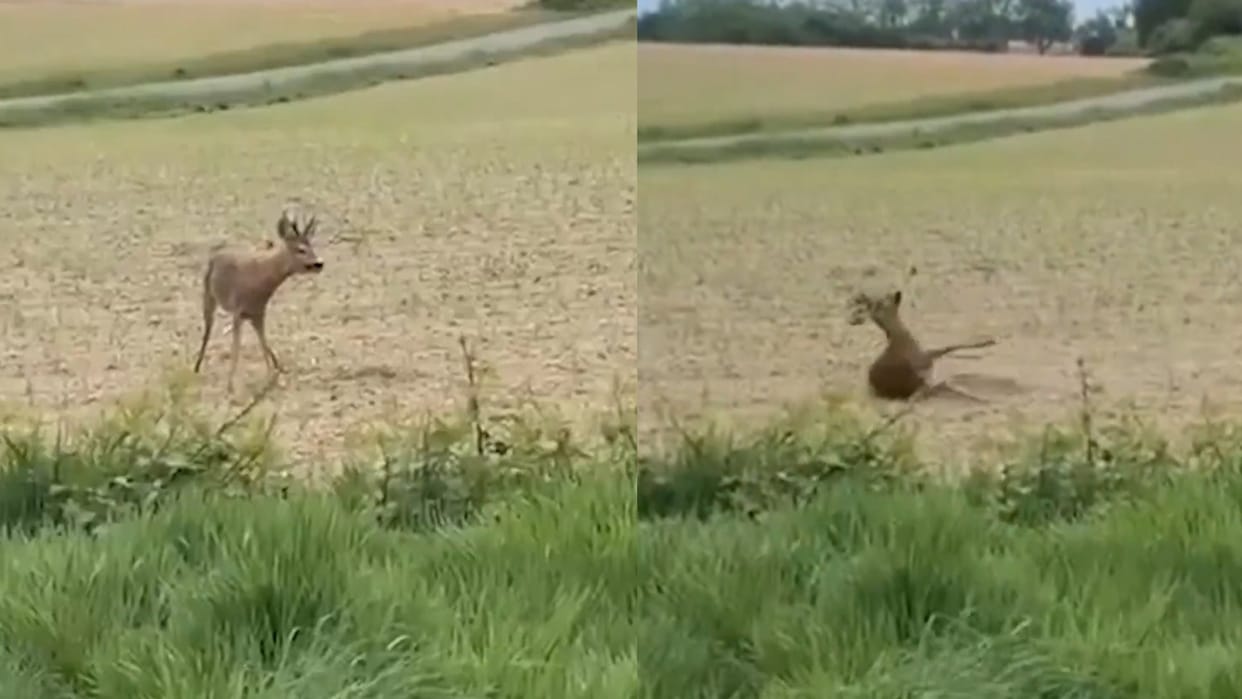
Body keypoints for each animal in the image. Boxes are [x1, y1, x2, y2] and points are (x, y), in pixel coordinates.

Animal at [192, 209, 324, 391]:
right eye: (301, 249)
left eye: (312, 247)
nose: (319, 263)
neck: (260, 282)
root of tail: (216, 255)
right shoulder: (238, 311)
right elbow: (236, 348)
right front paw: (231, 384)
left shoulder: (259, 312)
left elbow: (263, 342)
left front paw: (271, 376)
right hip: (209, 295)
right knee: (207, 331)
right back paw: (196, 367)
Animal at [846, 289, 997, 403]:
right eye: (873, 304)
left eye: (879, 302)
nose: (853, 319)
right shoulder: (927, 360)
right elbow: (949, 347)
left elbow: (950, 347)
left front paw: (987, 341)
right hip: (927, 381)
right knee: (945, 385)